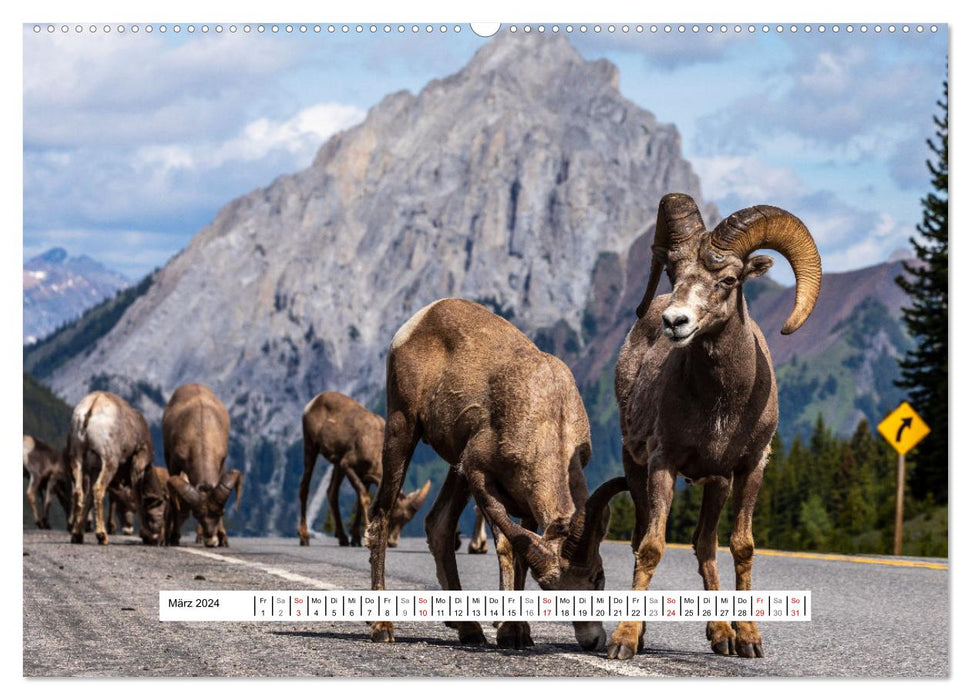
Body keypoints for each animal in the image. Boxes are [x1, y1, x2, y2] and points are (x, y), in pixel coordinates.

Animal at [65, 392, 154, 544]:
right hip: (109, 461)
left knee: (79, 492)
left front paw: (79, 533)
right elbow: (138, 496)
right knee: (98, 489)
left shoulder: (94, 469)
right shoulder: (137, 464)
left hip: (77, 459)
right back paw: (102, 536)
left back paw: (76, 536)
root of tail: (92, 406)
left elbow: (89, 499)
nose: (128, 529)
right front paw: (148, 535)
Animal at [161, 382, 241, 548]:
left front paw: (223, 539)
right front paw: (172, 538)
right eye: (197, 514)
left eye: (221, 512)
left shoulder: (221, 462)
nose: (211, 541)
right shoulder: (174, 465)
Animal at [298, 392, 430, 548]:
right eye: (395, 515)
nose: (392, 542)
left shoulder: (364, 477)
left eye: (406, 520)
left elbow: (360, 503)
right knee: (305, 487)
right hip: (311, 446)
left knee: (331, 492)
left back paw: (343, 538)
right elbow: (364, 498)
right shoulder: (347, 465)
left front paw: (355, 539)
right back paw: (304, 538)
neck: (373, 445)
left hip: (336, 465)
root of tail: (313, 402)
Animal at [368, 298, 628, 648]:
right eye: (550, 591)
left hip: (455, 469)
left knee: (438, 525)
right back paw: (382, 628)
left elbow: (520, 557)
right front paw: (509, 632)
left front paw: (521, 632)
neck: (548, 414)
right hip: (403, 428)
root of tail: (421, 317)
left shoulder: (519, 497)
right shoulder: (480, 475)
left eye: (597, 577)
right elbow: (506, 547)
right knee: (381, 516)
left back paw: (469, 630)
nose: (591, 641)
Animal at [608, 196, 820, 660]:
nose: (674, 322)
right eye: (673, 272)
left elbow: (741, 547)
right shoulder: (662, 463)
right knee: (640, 538)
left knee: (704, 544)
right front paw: (624, 640)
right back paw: (647, 633)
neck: (722, 407)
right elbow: (651, 547)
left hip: (717, 483)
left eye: (728, 279)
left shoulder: (750, 467)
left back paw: (722, 634)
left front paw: (750, 640)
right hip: (635, 468)